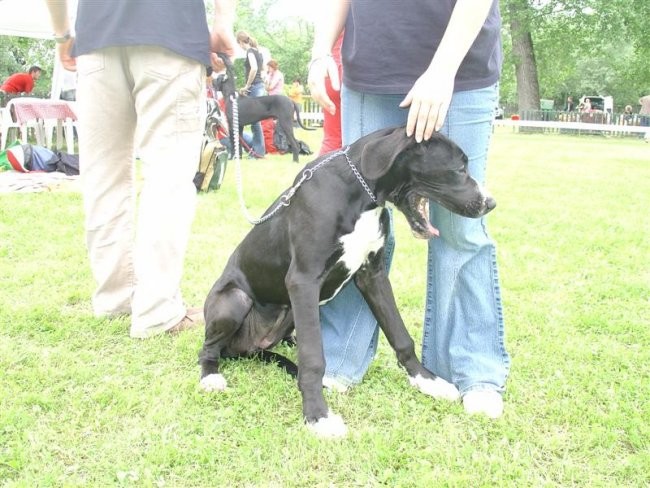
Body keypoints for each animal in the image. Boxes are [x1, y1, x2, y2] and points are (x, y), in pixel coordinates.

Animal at [197, 126, 496, 438]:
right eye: (459, 169)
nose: (490, 203)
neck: (362, 194)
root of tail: (247, 349)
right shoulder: (303, 280)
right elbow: (313, 358)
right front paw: (318, 415)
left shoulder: (373, 276)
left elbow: (400, 335)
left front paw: (427, 380)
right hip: (235, 300)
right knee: (208, 349)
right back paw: (211, 376)